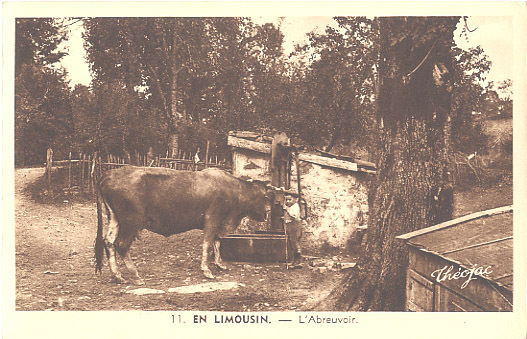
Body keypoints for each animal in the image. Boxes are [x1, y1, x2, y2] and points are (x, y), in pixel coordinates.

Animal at [94, 166, 272, 282]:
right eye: (265, 196)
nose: (269, 210)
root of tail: (109, 173)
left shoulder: (219, 223)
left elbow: (217, 242)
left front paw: (220, 264)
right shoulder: (212, 219)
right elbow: (208, 243)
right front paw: (207, 270)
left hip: (115, 218)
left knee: (109, 242)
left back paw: (117, 275)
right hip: (131, 220)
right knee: (122, 244)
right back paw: (135, 275)